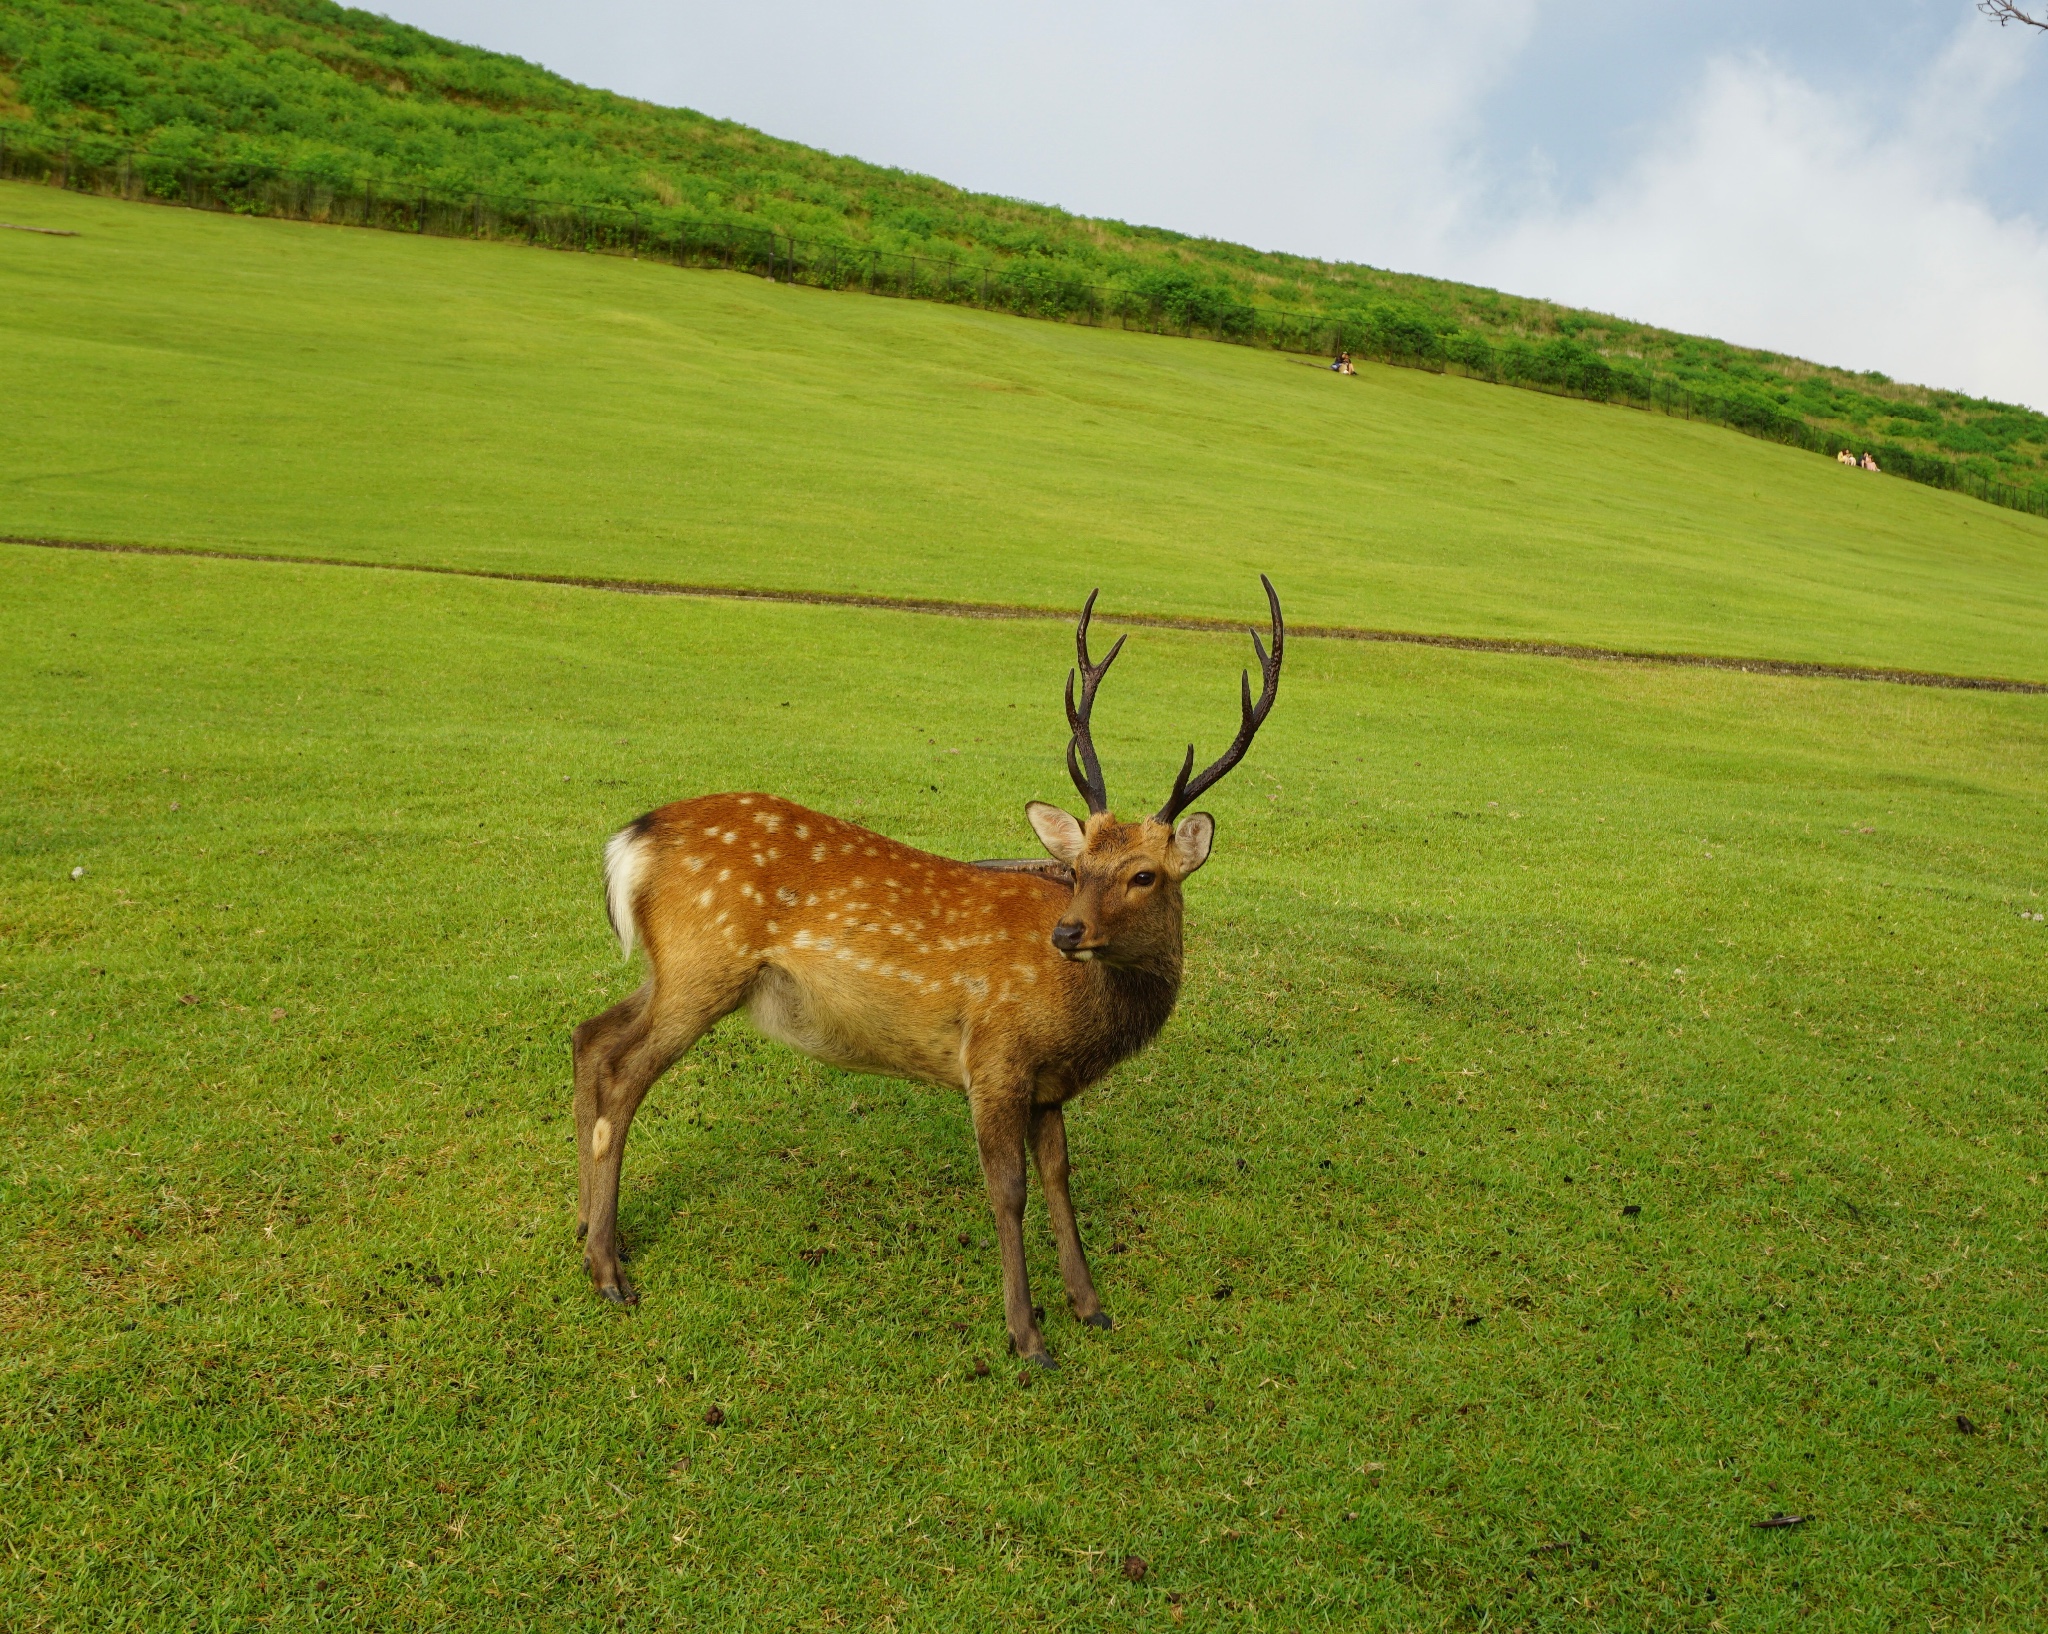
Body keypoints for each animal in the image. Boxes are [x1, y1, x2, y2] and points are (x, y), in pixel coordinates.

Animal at [573, 577, 1277, 1367]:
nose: (1067, 933)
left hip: (674, 969)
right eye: (1078, 869)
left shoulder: (1049, 1084)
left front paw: (1091, 1306)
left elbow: (1061, 1177)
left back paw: (588, 1231)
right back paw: (608, 1270)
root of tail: (632, 840)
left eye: (1144, 875)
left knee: (590, 1036)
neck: (1080, 1023)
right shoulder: (996, 1054)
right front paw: (1028, 1336)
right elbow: (1008, 1190)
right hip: (705, 963)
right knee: (623, 1074)